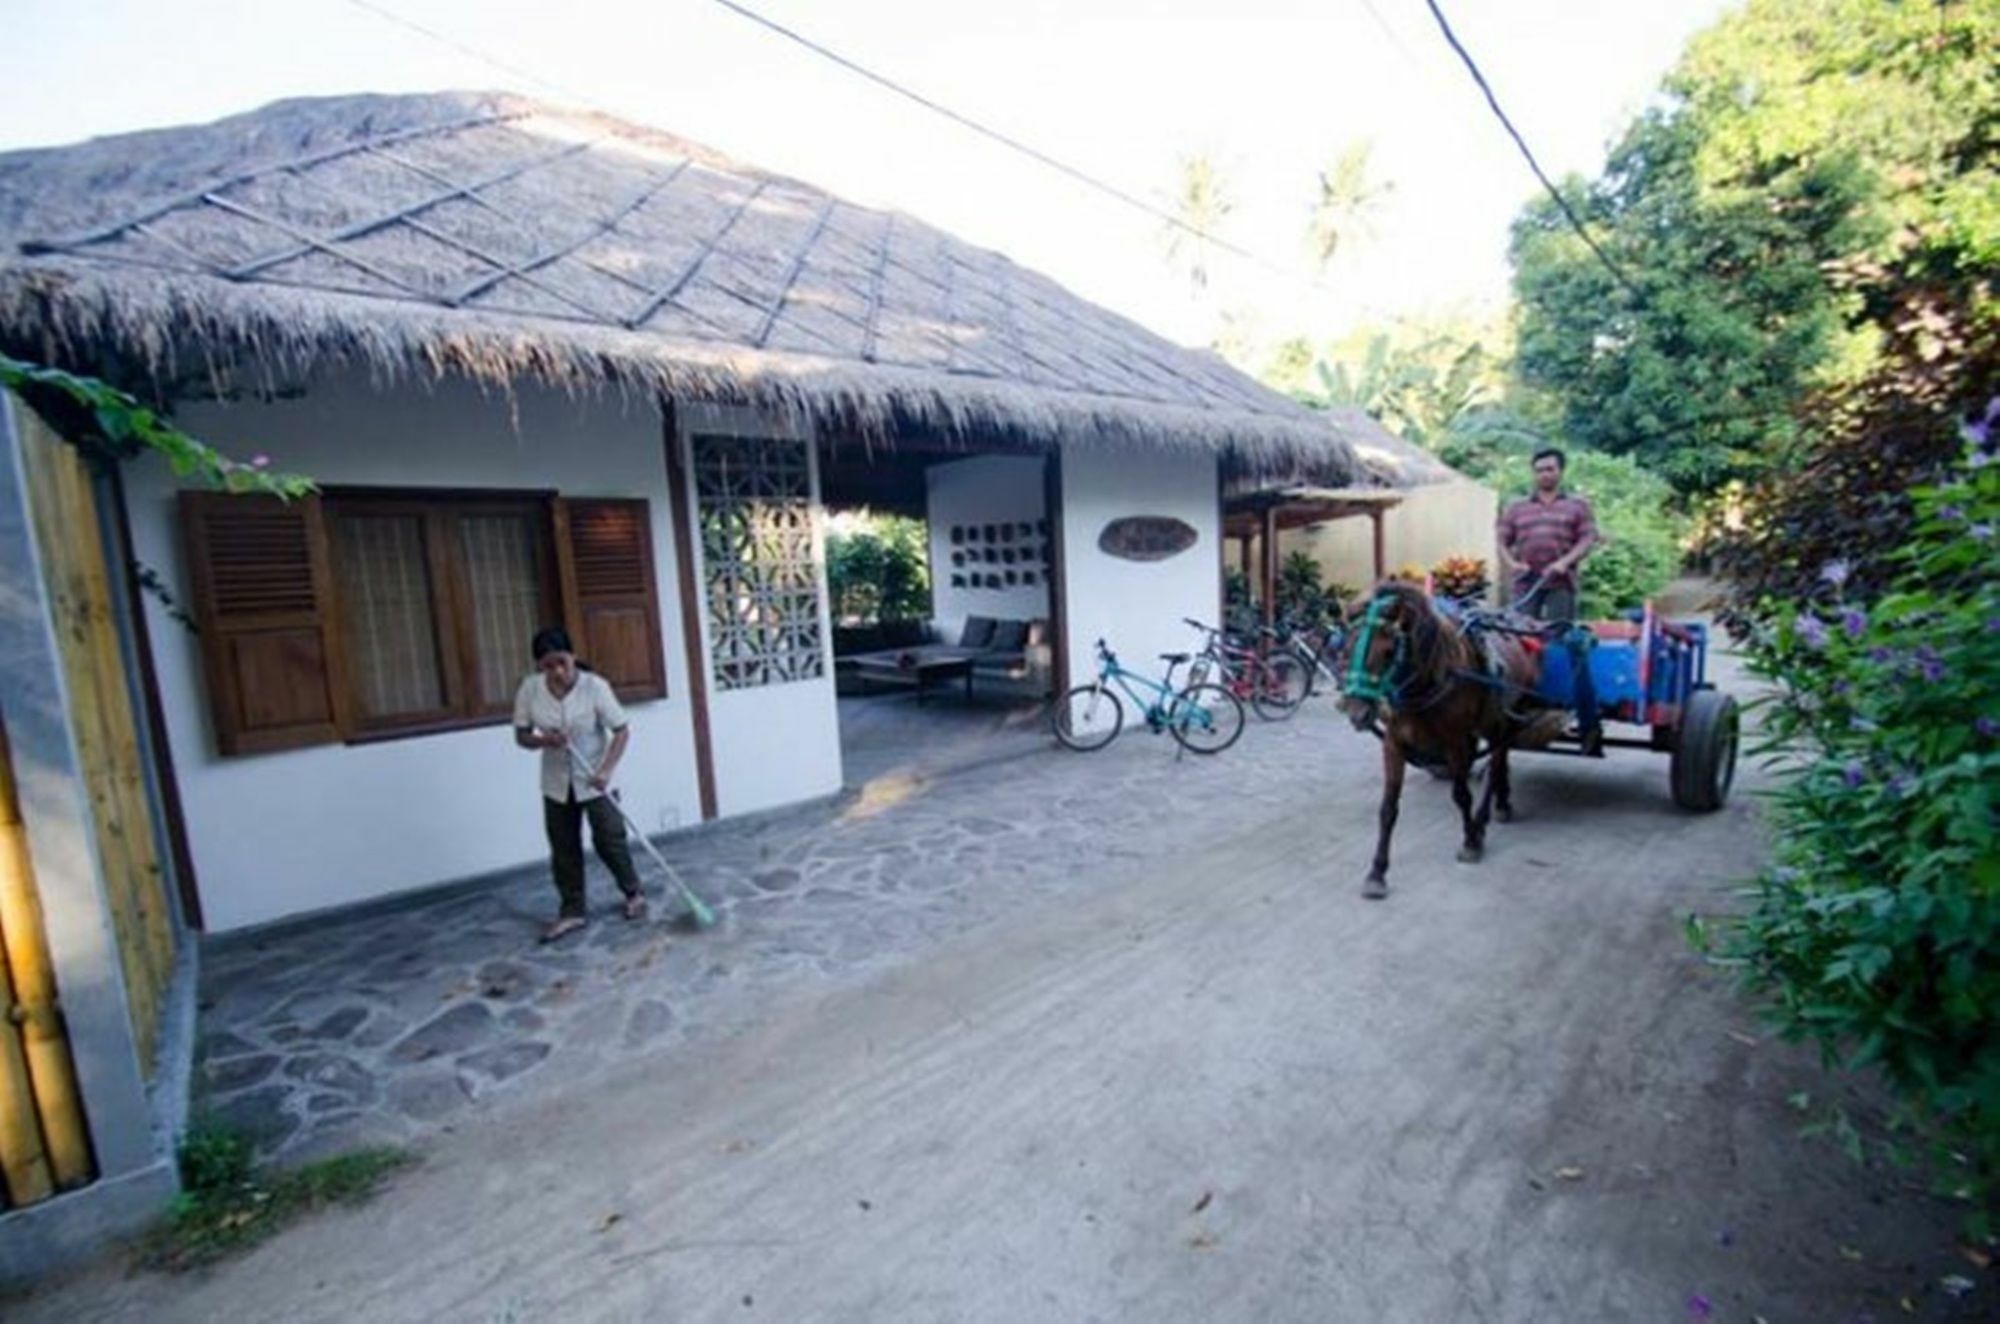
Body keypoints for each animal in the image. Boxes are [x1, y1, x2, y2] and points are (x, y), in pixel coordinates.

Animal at [1344, 588, 1544, 904]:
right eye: (1349, 645)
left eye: (1389, 651)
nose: (1357, 713)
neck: (1427, 681)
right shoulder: (1393, 744)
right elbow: (1388, 809)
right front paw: (1377, 872)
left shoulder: (1456, 742)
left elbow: (1461, 795)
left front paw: (1470, 841)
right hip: (1494, 722)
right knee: (1502, 760)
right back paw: (1502, 803)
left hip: (1506, 717)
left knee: (1496, 762)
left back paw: (1483, 820)